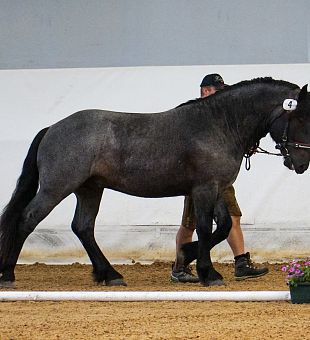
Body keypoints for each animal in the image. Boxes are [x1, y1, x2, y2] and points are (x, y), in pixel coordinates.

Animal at [0, 77, 310, 286]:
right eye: (300, 119)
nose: (301, 164)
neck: (219, 124)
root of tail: (52, 128)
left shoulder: (218, 188)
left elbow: (222, 226)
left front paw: (186, 256)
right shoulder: (205, 188)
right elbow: (205, 227)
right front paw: (208, 273)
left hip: (90, 189)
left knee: (83, 227)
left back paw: (109, 274)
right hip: (56, 188)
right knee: (27, 219)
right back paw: (8, 273)